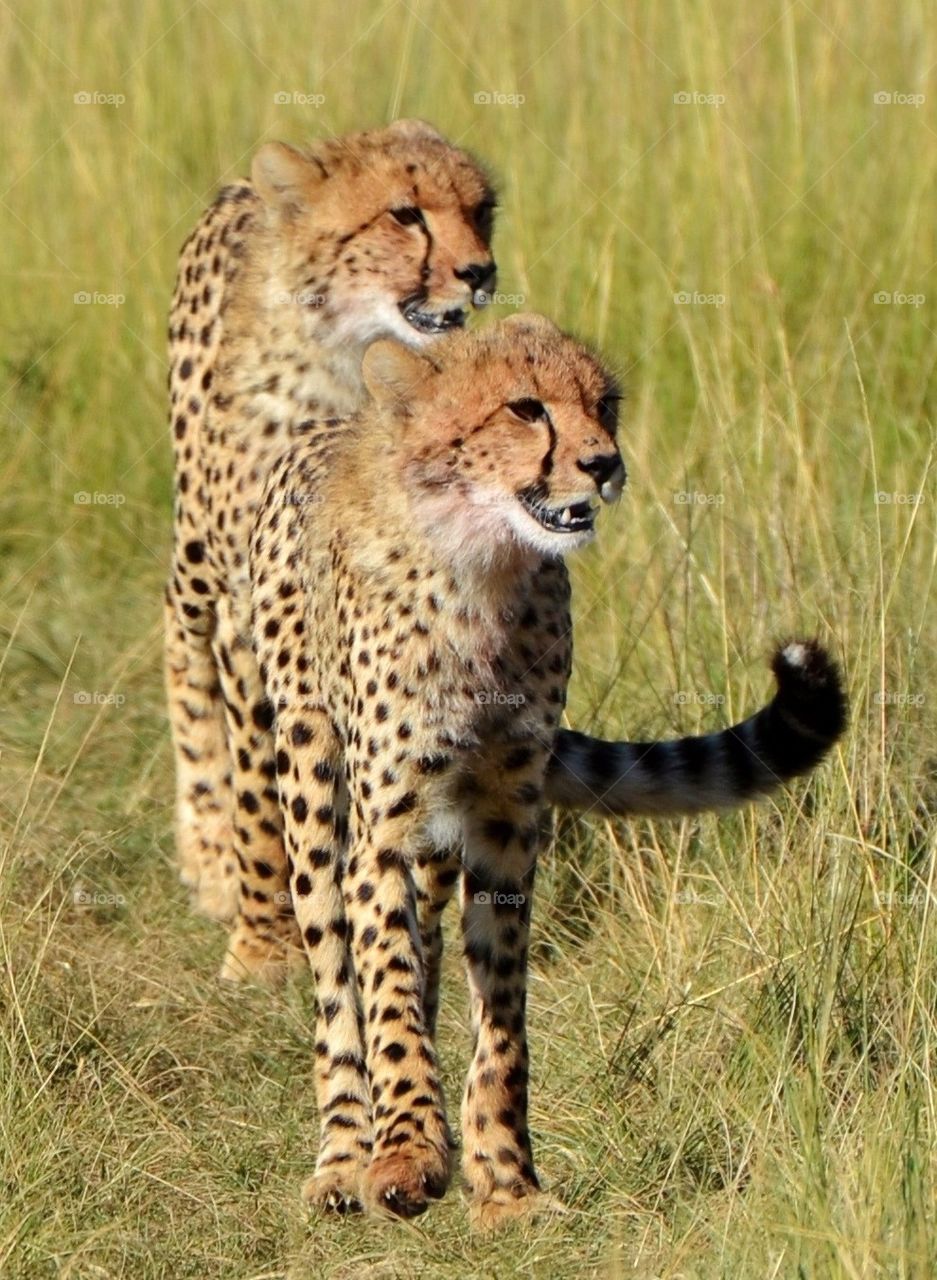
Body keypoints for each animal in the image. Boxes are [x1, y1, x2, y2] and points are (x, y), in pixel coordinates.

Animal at [166, 120, 849, 988]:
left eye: (481, 210)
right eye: (403, 215)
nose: (478, 273)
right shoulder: (258, 605)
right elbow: (260, 781)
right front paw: (261, 935)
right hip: (200, 564)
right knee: (188, 669)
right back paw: (215, 861)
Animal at [243, 314, 849, 1223]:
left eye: (606, 405)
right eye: (524, 408)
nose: (602, 462)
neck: (479, 569)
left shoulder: (503, 818)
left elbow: (498, 1018)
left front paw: (503, 1182)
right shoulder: (386, 825)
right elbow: (383, 986)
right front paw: (405, 1155)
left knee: (425, 950)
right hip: (312, 775)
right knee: (334, 972)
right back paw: (347, 1152)